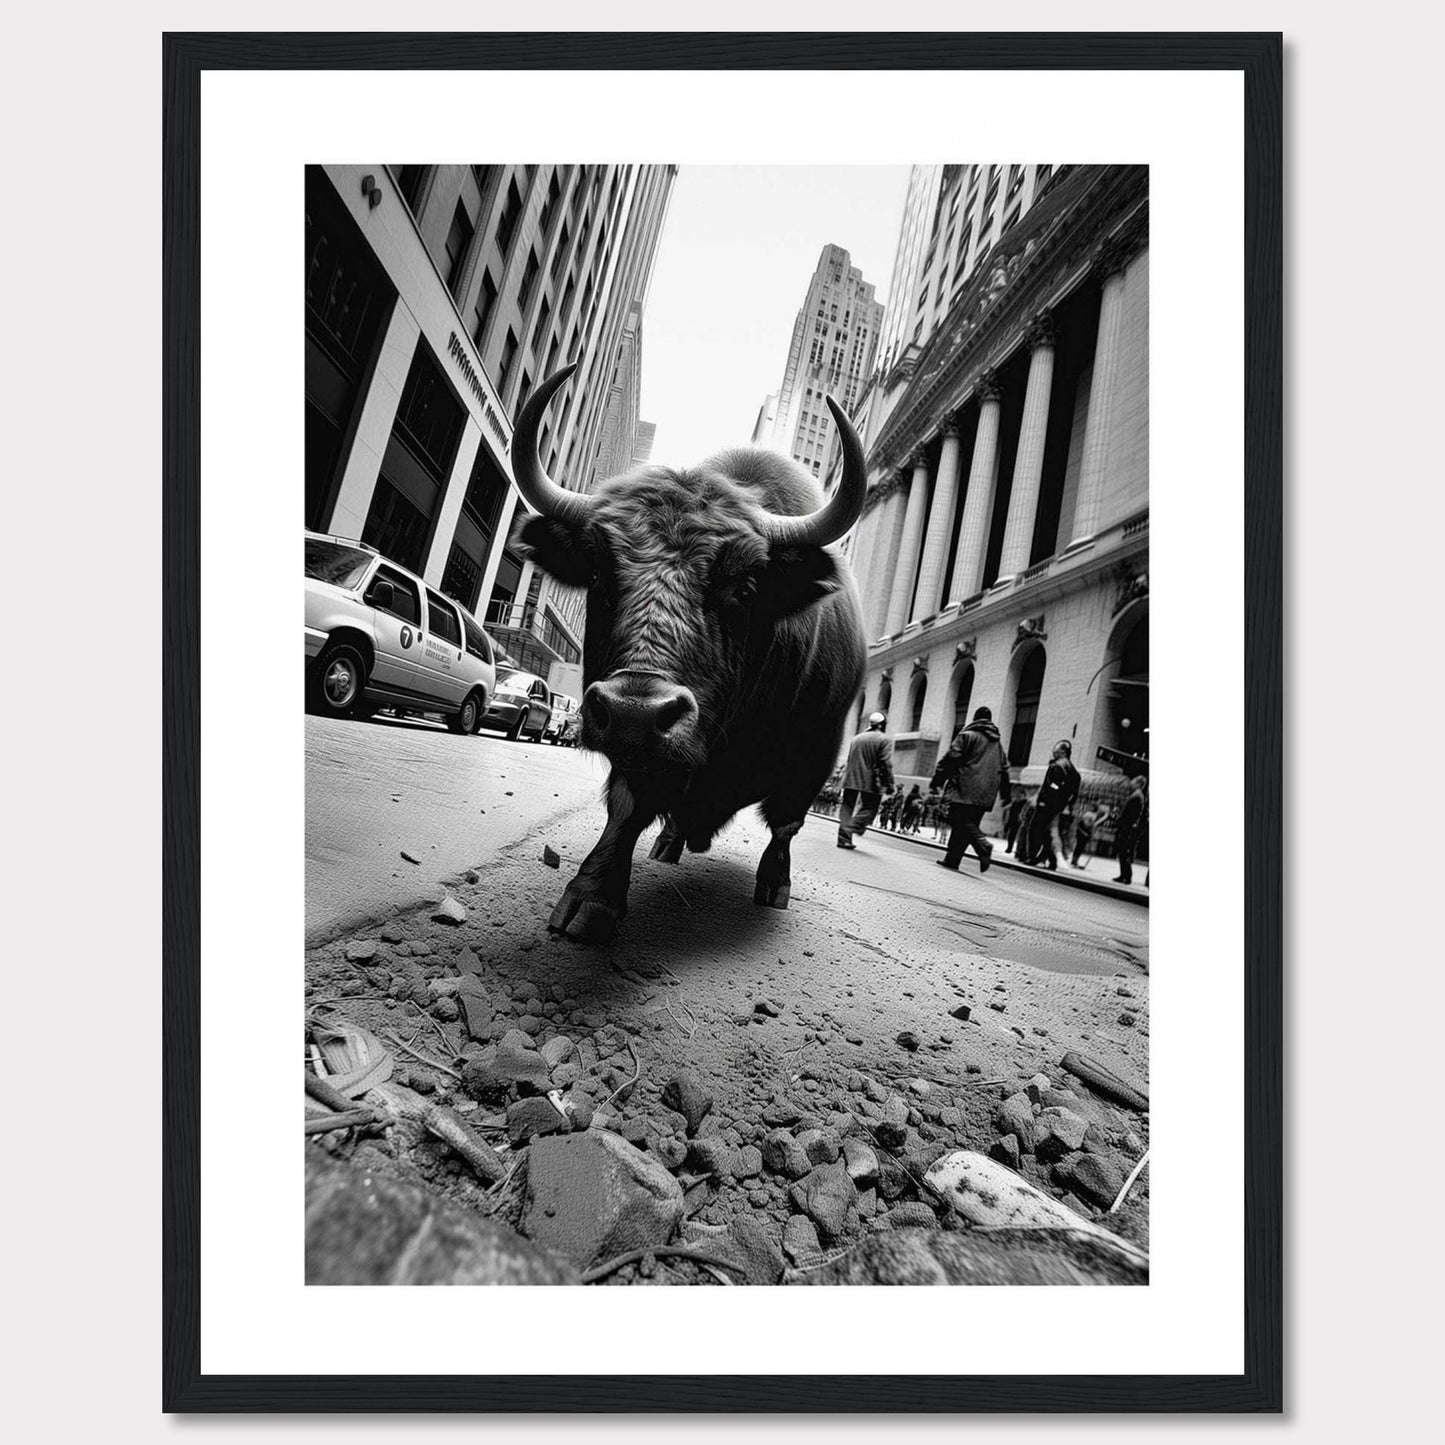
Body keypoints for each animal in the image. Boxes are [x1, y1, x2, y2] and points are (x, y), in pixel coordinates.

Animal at [508, 367, 867, 942]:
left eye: (744, 586)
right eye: (597, 575)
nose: (634, 712)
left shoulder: (816, 750)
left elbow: (787, 825)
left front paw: (775, 885)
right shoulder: (639, 755)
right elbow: (626, 809)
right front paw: (592, 898)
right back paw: (669, 842)